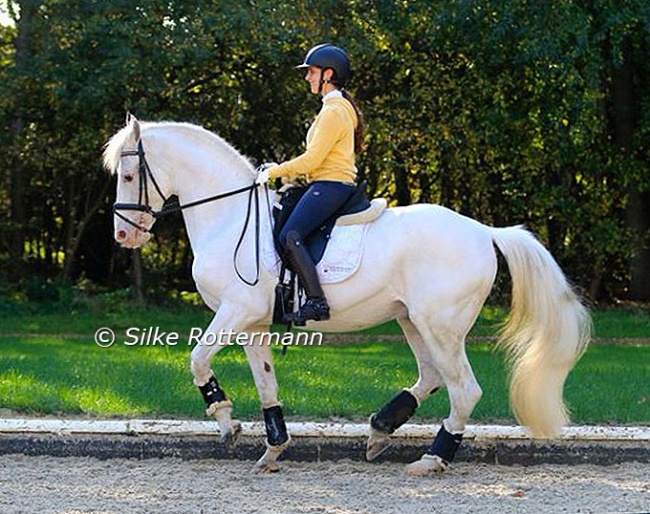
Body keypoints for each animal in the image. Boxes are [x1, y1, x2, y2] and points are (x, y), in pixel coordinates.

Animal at [104, 115, 588, 472]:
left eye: (128, 174)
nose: (123, 236)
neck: (229, 217)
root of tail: (485, 231)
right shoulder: (253, 322)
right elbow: (265, 383)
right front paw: (273, 448)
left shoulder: (235, 311)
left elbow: (197, 359)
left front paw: (225, 421)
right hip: (412, 320)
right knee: (432, 377)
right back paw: (379, 430)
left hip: (441, 326)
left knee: (463, 389)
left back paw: (432, 459)